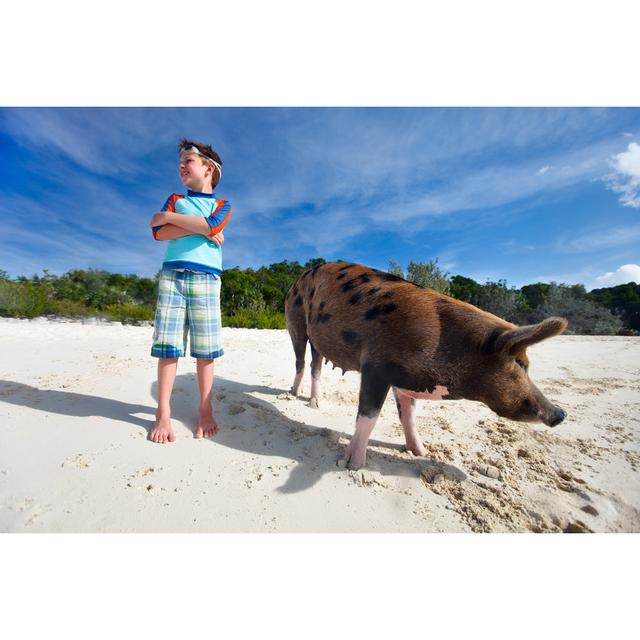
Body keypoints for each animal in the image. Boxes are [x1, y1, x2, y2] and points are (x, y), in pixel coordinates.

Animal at [282, 260, 568, 470]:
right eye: (520, 364)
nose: (561, 414)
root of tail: (298, 278)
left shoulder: (405, 379)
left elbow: (408, 415)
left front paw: (419, 452)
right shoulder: (376, 366)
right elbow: (368, 416)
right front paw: (352, 465)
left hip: (318, 339)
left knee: (316, 365)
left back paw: (315, 402)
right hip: (294, 320)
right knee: (300, 360)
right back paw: (295, 395)